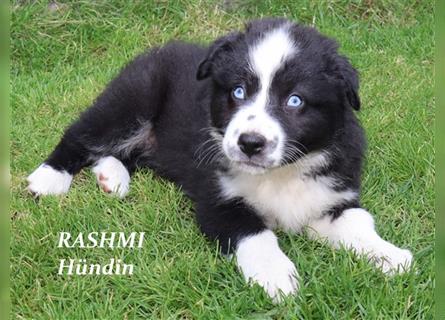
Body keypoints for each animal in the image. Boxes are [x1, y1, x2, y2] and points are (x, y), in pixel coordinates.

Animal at [26, 17, 410, 302]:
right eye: (238, 91)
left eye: (295, 100)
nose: (250, 143)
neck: (281, 174)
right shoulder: (218, 201)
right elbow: (255, 234)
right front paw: (277, 277)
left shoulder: (331, 196)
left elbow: (358, 224)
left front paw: (391, 256)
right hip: (132, 98)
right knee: (81, 134)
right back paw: (48, 179)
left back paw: (112, 178)